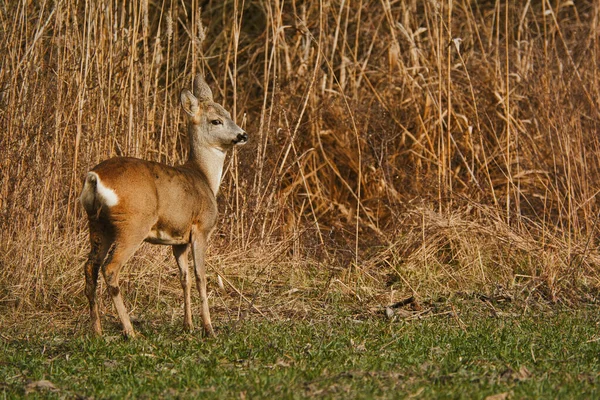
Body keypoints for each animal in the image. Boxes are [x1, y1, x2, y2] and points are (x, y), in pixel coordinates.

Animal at [79, 74, 246, 338]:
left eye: (229, 113)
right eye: (216, 120)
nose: (242, 135)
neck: (205, 178)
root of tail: (94, 178)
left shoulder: (179, 240)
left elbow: (184, 278)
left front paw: (188, 325)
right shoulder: (201, 228)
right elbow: (201, 277)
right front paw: (209, 329)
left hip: (96, 225)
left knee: (90, 268)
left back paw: (97, 331)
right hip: (132, 224)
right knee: (110, 268)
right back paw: (130, 332)